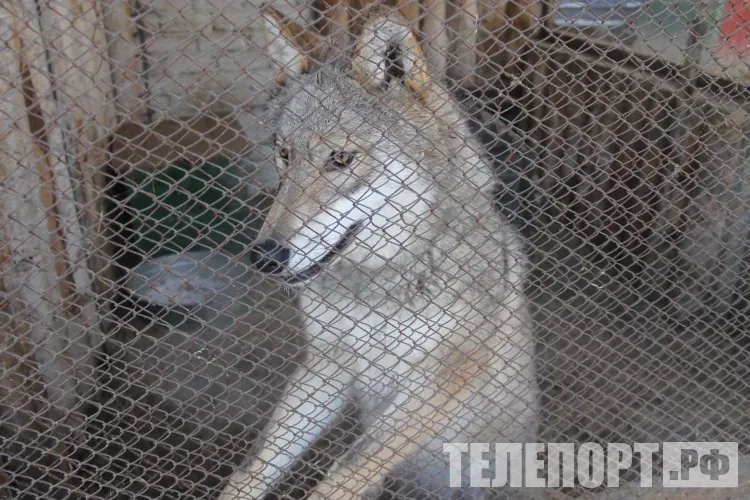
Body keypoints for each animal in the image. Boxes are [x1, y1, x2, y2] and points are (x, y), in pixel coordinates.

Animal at [220, 6, 540, 500]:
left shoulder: (439, 380)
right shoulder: (328, 363)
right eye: (285, 155)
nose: (265, 257)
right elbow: (255, 468)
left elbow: (343, 477)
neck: (375, 287)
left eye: (340, 159)